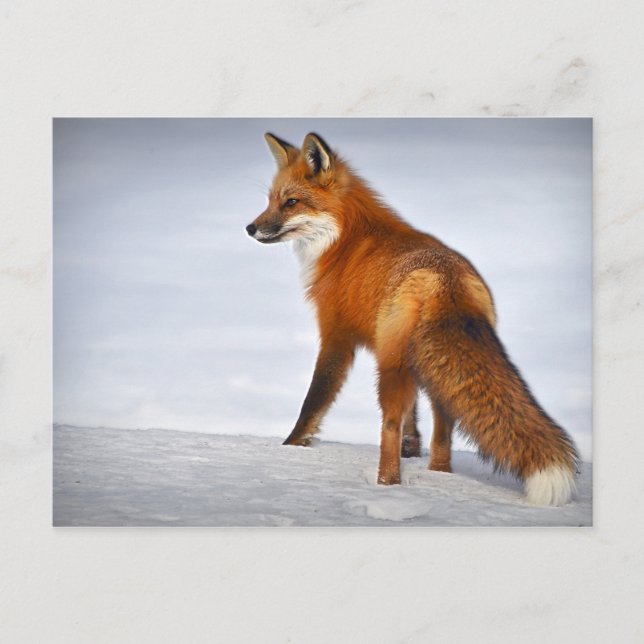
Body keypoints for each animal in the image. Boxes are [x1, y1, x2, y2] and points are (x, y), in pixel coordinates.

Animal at [245, 131, 579, 506]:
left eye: (291, 202)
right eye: (270, 200)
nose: (250, 228)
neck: (345, 240)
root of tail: (445, 281)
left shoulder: (336, 335)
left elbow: (314, 401)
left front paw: (290, 447)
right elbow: (413, 419)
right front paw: (413, 448)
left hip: (391, 367)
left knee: (388, 426)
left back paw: (386, 485)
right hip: (427, 367)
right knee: (443, 429)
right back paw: (438, 475)